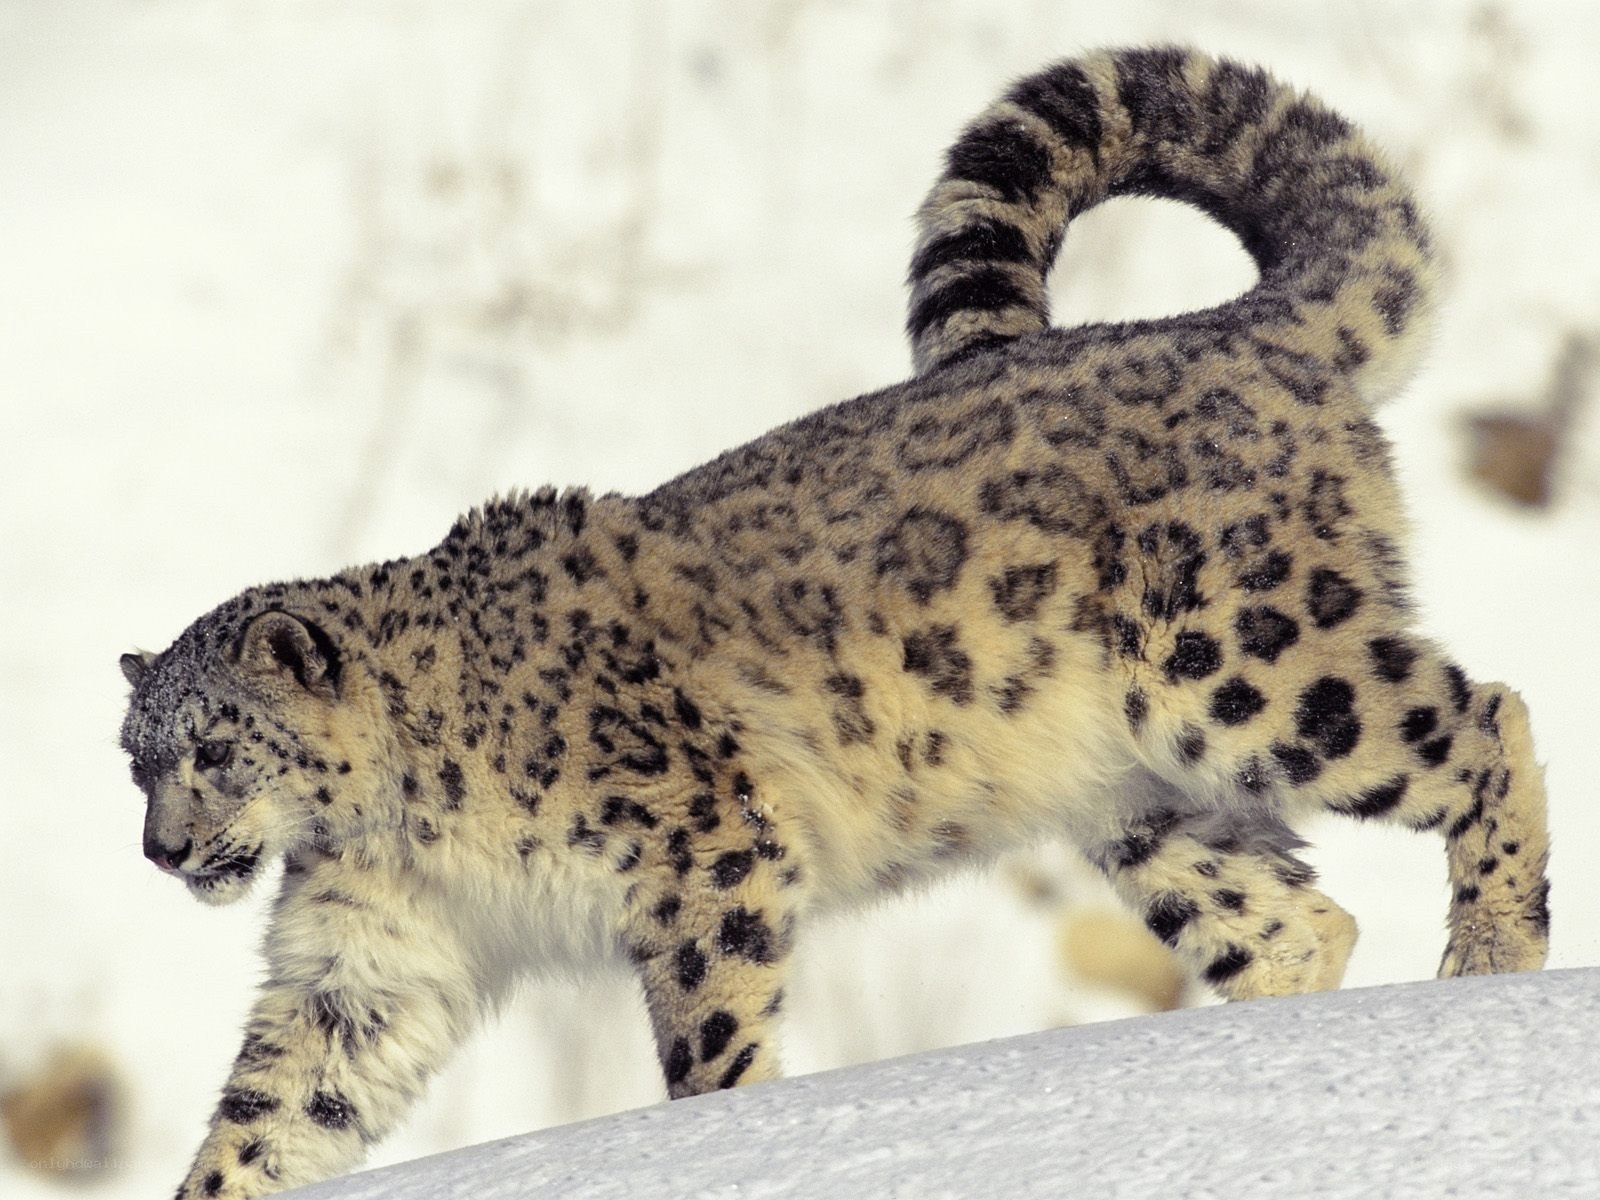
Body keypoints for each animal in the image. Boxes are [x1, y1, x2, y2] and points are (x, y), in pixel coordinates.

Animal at [118, 48, 1551, 1198]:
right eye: (136, 762)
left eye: (215, 748)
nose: (161, 850)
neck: (395, 825)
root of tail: (1238, 329)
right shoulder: (368, 959)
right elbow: (273, 1112)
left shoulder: (696, 849)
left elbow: (709, 1029)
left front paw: (729, 1141)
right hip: (1140, 795)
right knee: (1292, 920)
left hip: (1248, 664)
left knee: (1485, 718)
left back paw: (1488, 957)